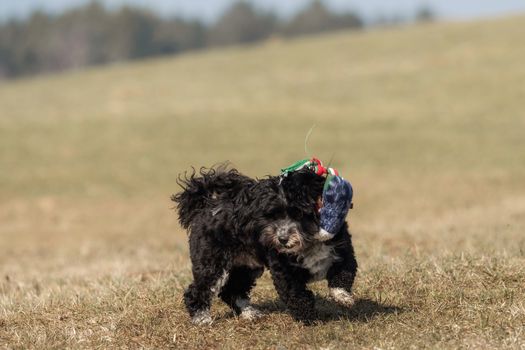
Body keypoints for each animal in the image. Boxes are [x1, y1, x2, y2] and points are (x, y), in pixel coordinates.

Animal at [172, 165, 356, 324]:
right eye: (272, 216)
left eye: (298, 213)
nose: (282, 239)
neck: (308, 243)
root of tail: (205, 207)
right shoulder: (284, 271)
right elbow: (297, 296)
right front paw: (310, 318)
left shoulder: (342, 252)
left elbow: (342, 277)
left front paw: (343, 297)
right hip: (212, 263)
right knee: (197, 291)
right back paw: (201, 318)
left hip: (246, 266)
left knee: (232, 290)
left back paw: (249, 313)